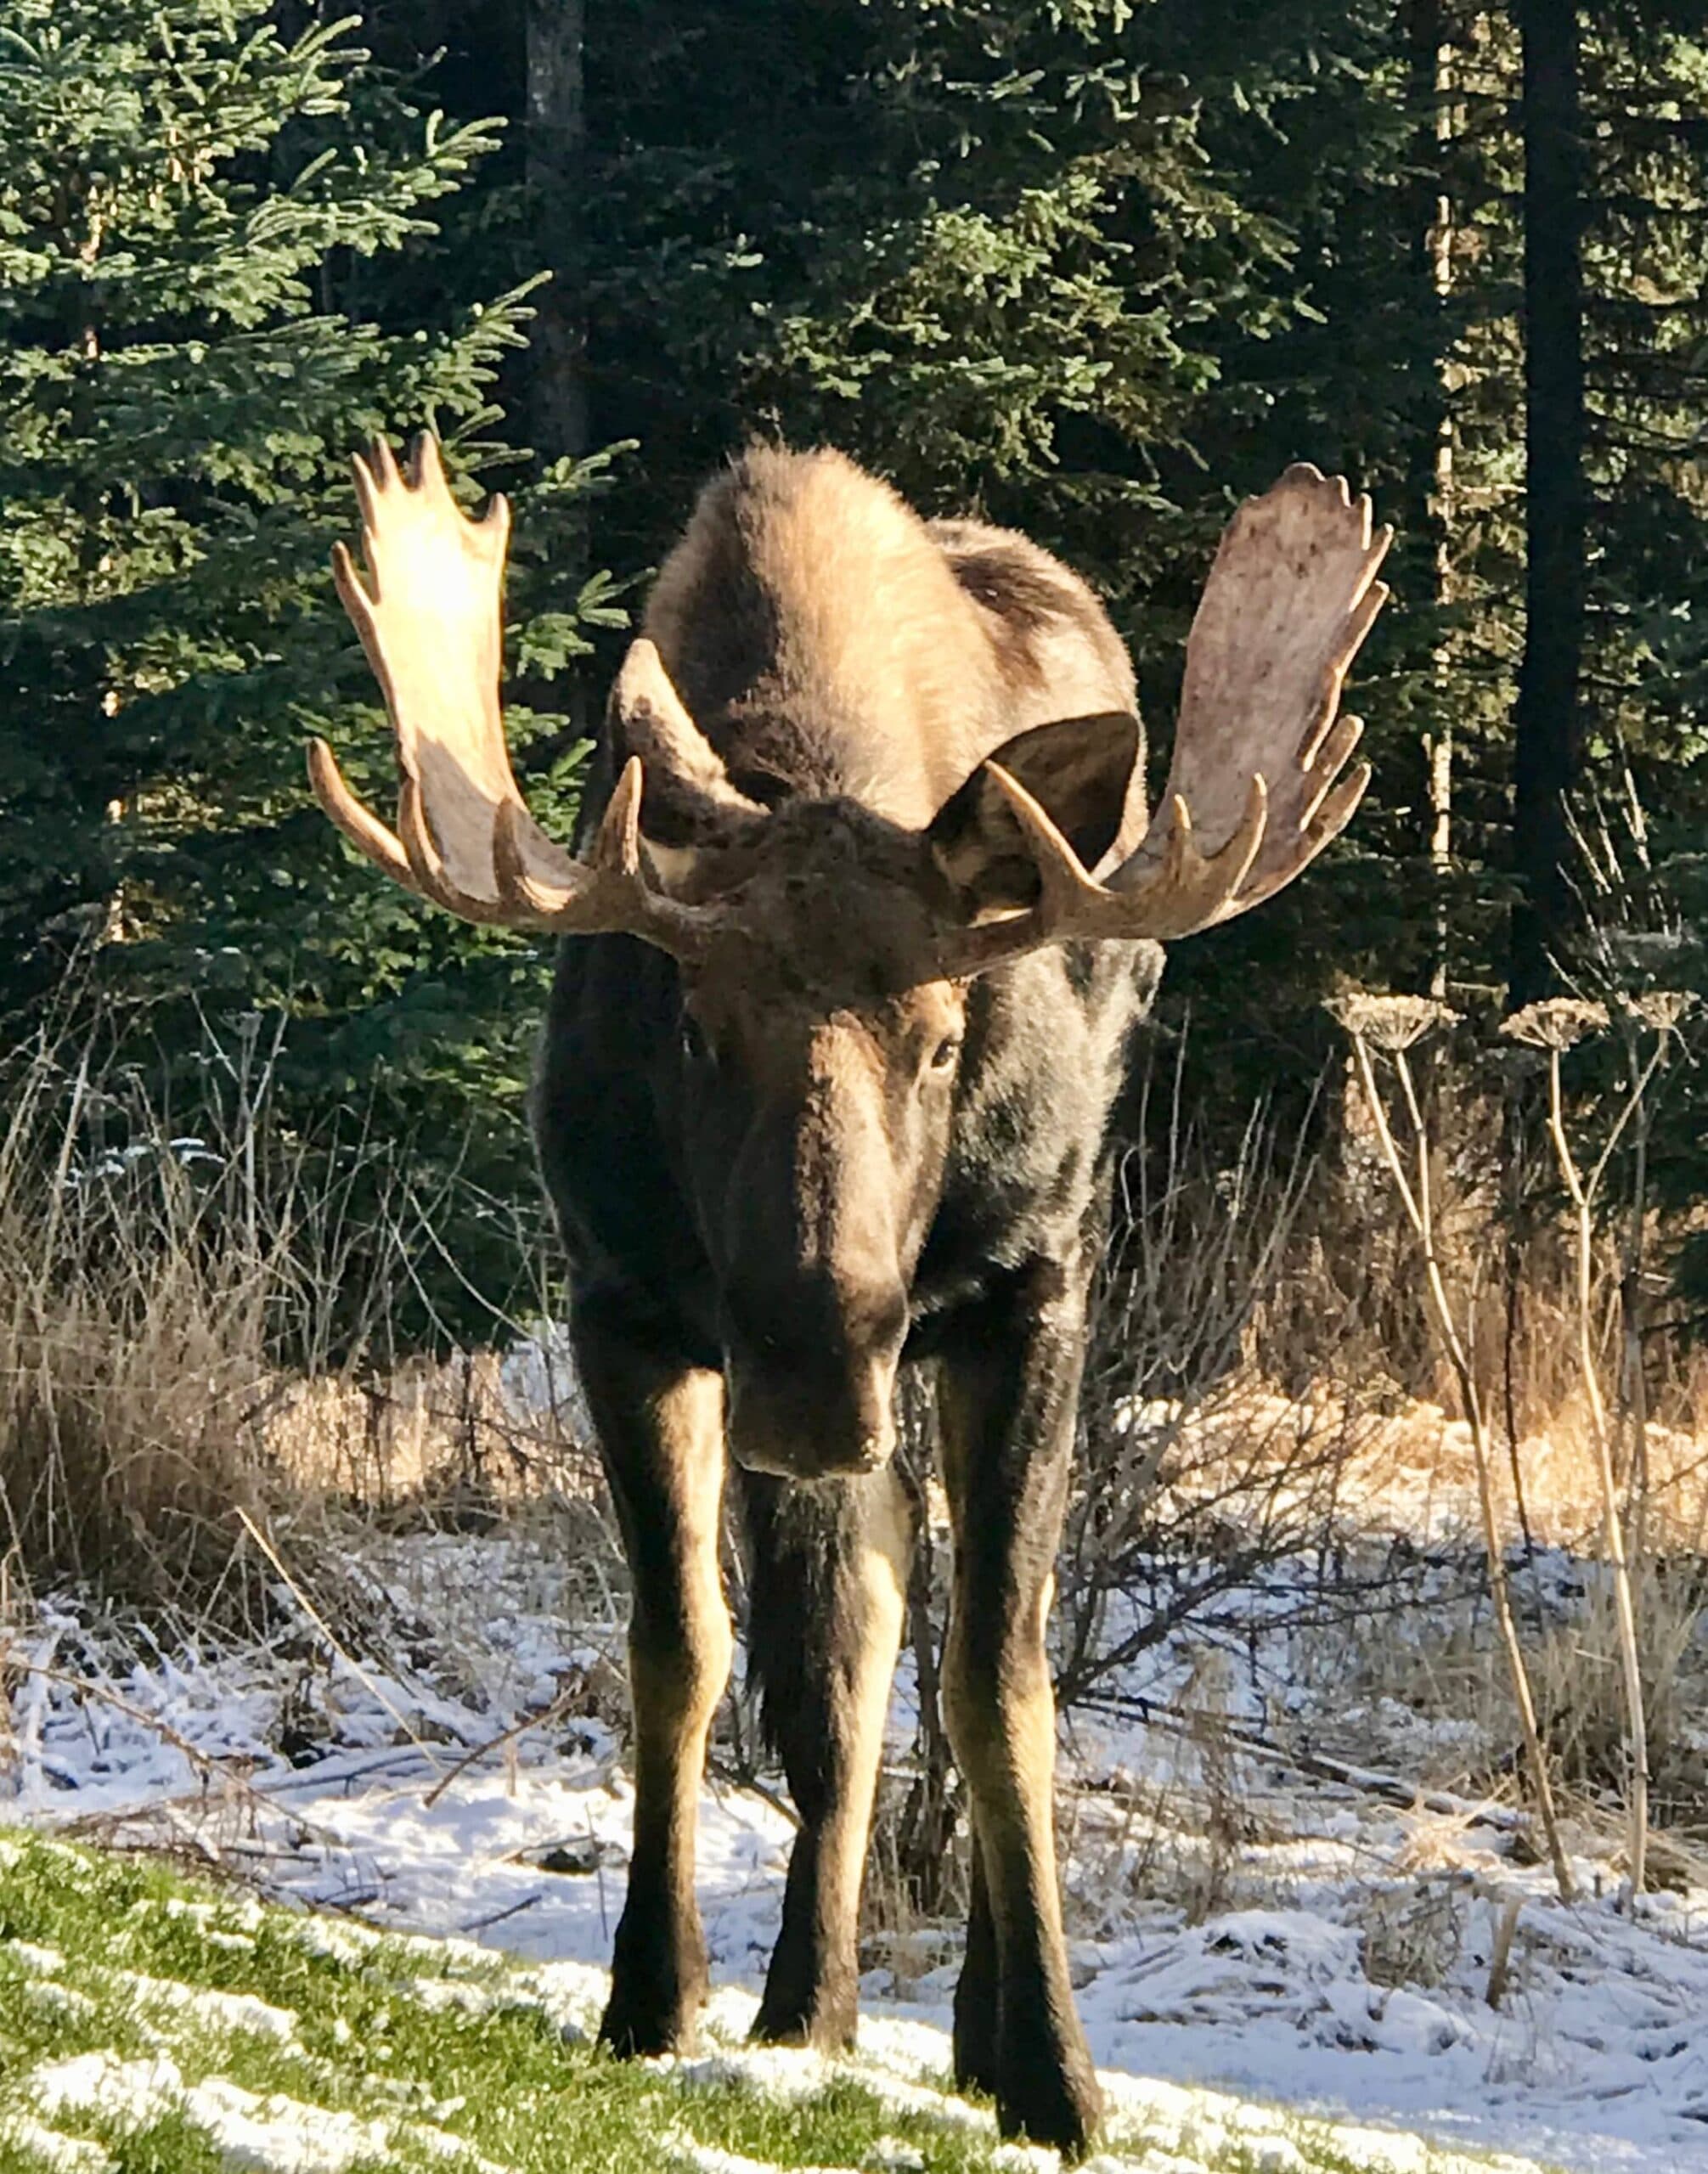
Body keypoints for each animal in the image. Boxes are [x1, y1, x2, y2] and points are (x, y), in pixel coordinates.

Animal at [313, 432, 1390, 2148]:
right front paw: (653, 1995)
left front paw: (1055, 2073)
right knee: (852, 1641)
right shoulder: (621, 1302)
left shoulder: (1032, 1292)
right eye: (693, 1023)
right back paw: (805, 2000)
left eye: (947, 1036)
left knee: (930, 1637)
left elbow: (1003, 1681)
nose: (820, 1370)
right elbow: (694, 1655)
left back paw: (971, 2024)